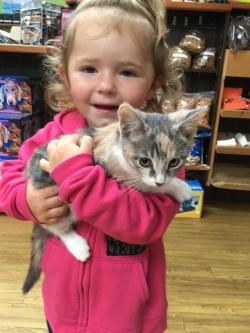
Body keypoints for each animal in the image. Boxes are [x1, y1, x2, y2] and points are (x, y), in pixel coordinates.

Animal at [22, 102, 202, 292]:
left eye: (174, 162)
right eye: (145, 161)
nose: (160, 181)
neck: (118, 144)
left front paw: (174, 183)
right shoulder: (108, 166)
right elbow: (143, 183)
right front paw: (178, 187)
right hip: (51, 189)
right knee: (54, 225)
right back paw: (77, 244)